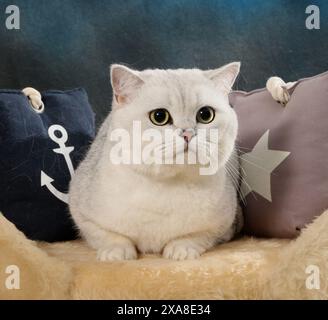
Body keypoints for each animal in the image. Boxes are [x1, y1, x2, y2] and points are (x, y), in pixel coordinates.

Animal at [68, 62, 243, 260]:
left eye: (205, 115)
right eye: (159, 116)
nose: (187, 134)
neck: (166, 186)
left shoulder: (227, 223)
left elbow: (199, 236)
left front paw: (181, 249)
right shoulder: (81, 213)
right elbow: (108, 235)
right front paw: (117, 252)